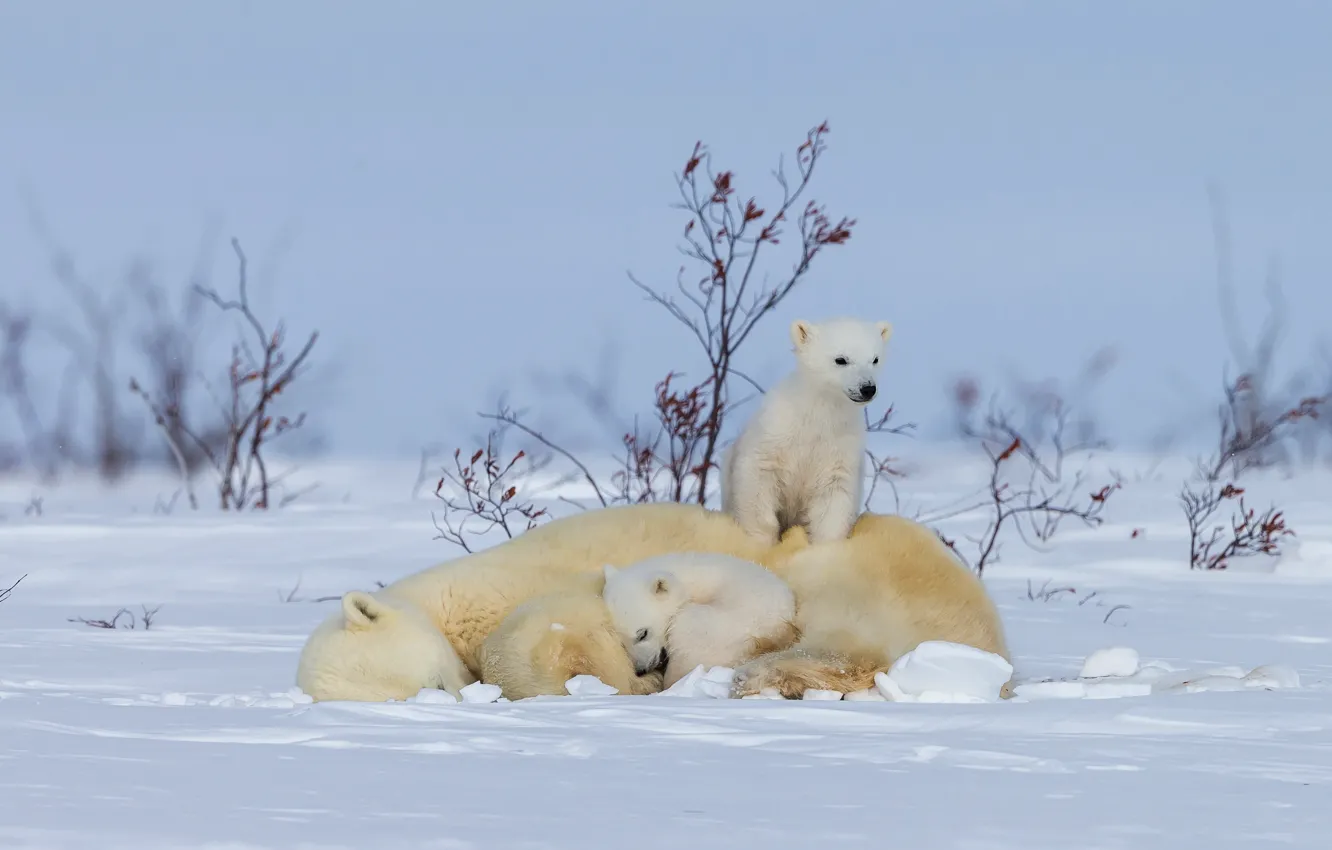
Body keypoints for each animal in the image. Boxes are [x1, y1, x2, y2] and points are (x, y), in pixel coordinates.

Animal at [721, 317, 892, 546]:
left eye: (875, 359)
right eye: (841, 359)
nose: (867, 388)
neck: (817, 416)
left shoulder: (839, 448)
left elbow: (833, 501)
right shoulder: (774, 435)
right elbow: (758, 484)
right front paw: (760, 540)